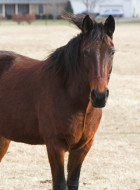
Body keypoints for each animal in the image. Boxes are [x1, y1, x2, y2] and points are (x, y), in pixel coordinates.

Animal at [0, 13, 115, 190]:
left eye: (112, 51)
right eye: (85, 51)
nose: (99, 96)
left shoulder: (82, 147)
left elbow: (73, 182)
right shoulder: (55, 146)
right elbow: (60, 183)